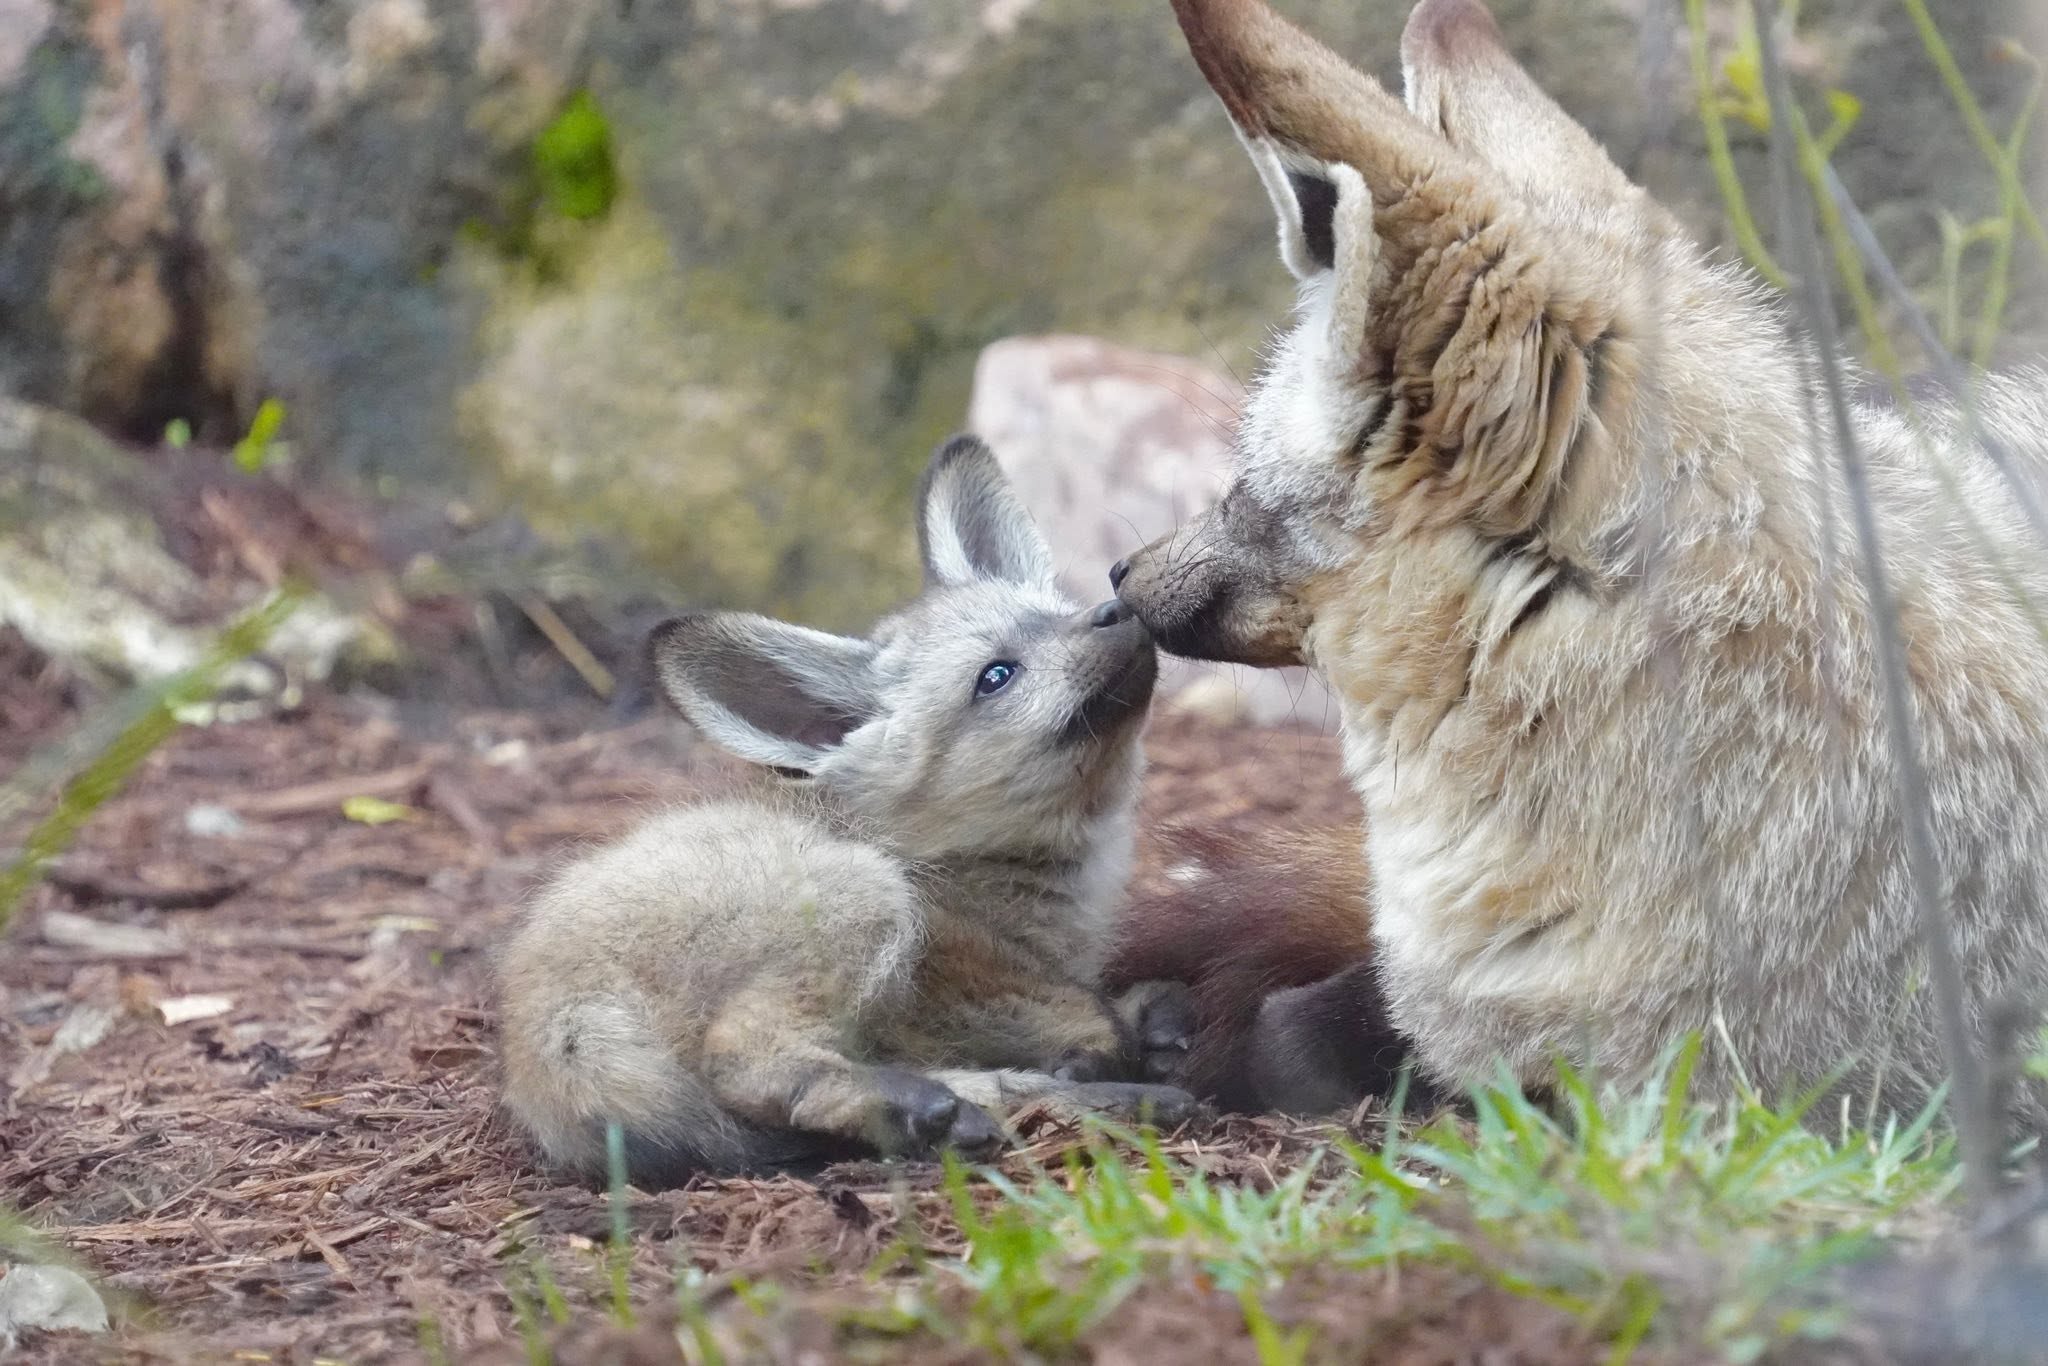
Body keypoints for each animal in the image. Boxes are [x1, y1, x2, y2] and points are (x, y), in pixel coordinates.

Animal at [496, 436, 1195, 1185]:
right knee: (746, 1063)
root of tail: (549, 1028)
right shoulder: (957, 965)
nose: (1115, 608)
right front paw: (1108, 1047)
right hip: (862, 894)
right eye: (996, 676)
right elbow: (1082, 1012)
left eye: (1059, 611)